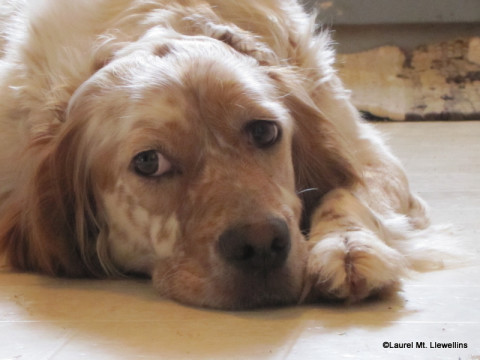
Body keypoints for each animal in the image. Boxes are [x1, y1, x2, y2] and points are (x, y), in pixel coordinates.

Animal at [0, 0, 442, 310]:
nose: (261, 245)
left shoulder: (367, 153)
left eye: (264, 131)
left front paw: (347, 245)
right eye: (148, 162)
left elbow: (349, 190)